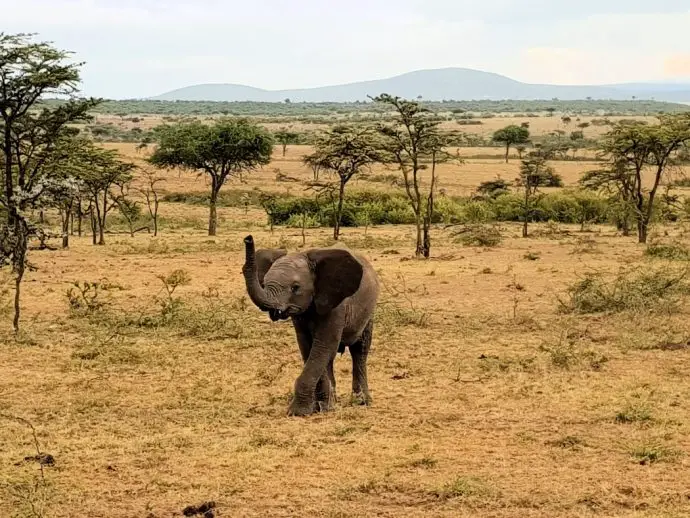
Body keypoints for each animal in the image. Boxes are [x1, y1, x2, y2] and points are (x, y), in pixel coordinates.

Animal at [241, 236, 382, 418]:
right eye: (264, 283)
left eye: (295, 287)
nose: (248, 239)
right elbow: (309, 348)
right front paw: (321, 407)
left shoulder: (337, 305)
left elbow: (323, 346)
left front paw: (298, 412)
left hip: (369, 311)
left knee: (360, 349)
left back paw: (361, 402)